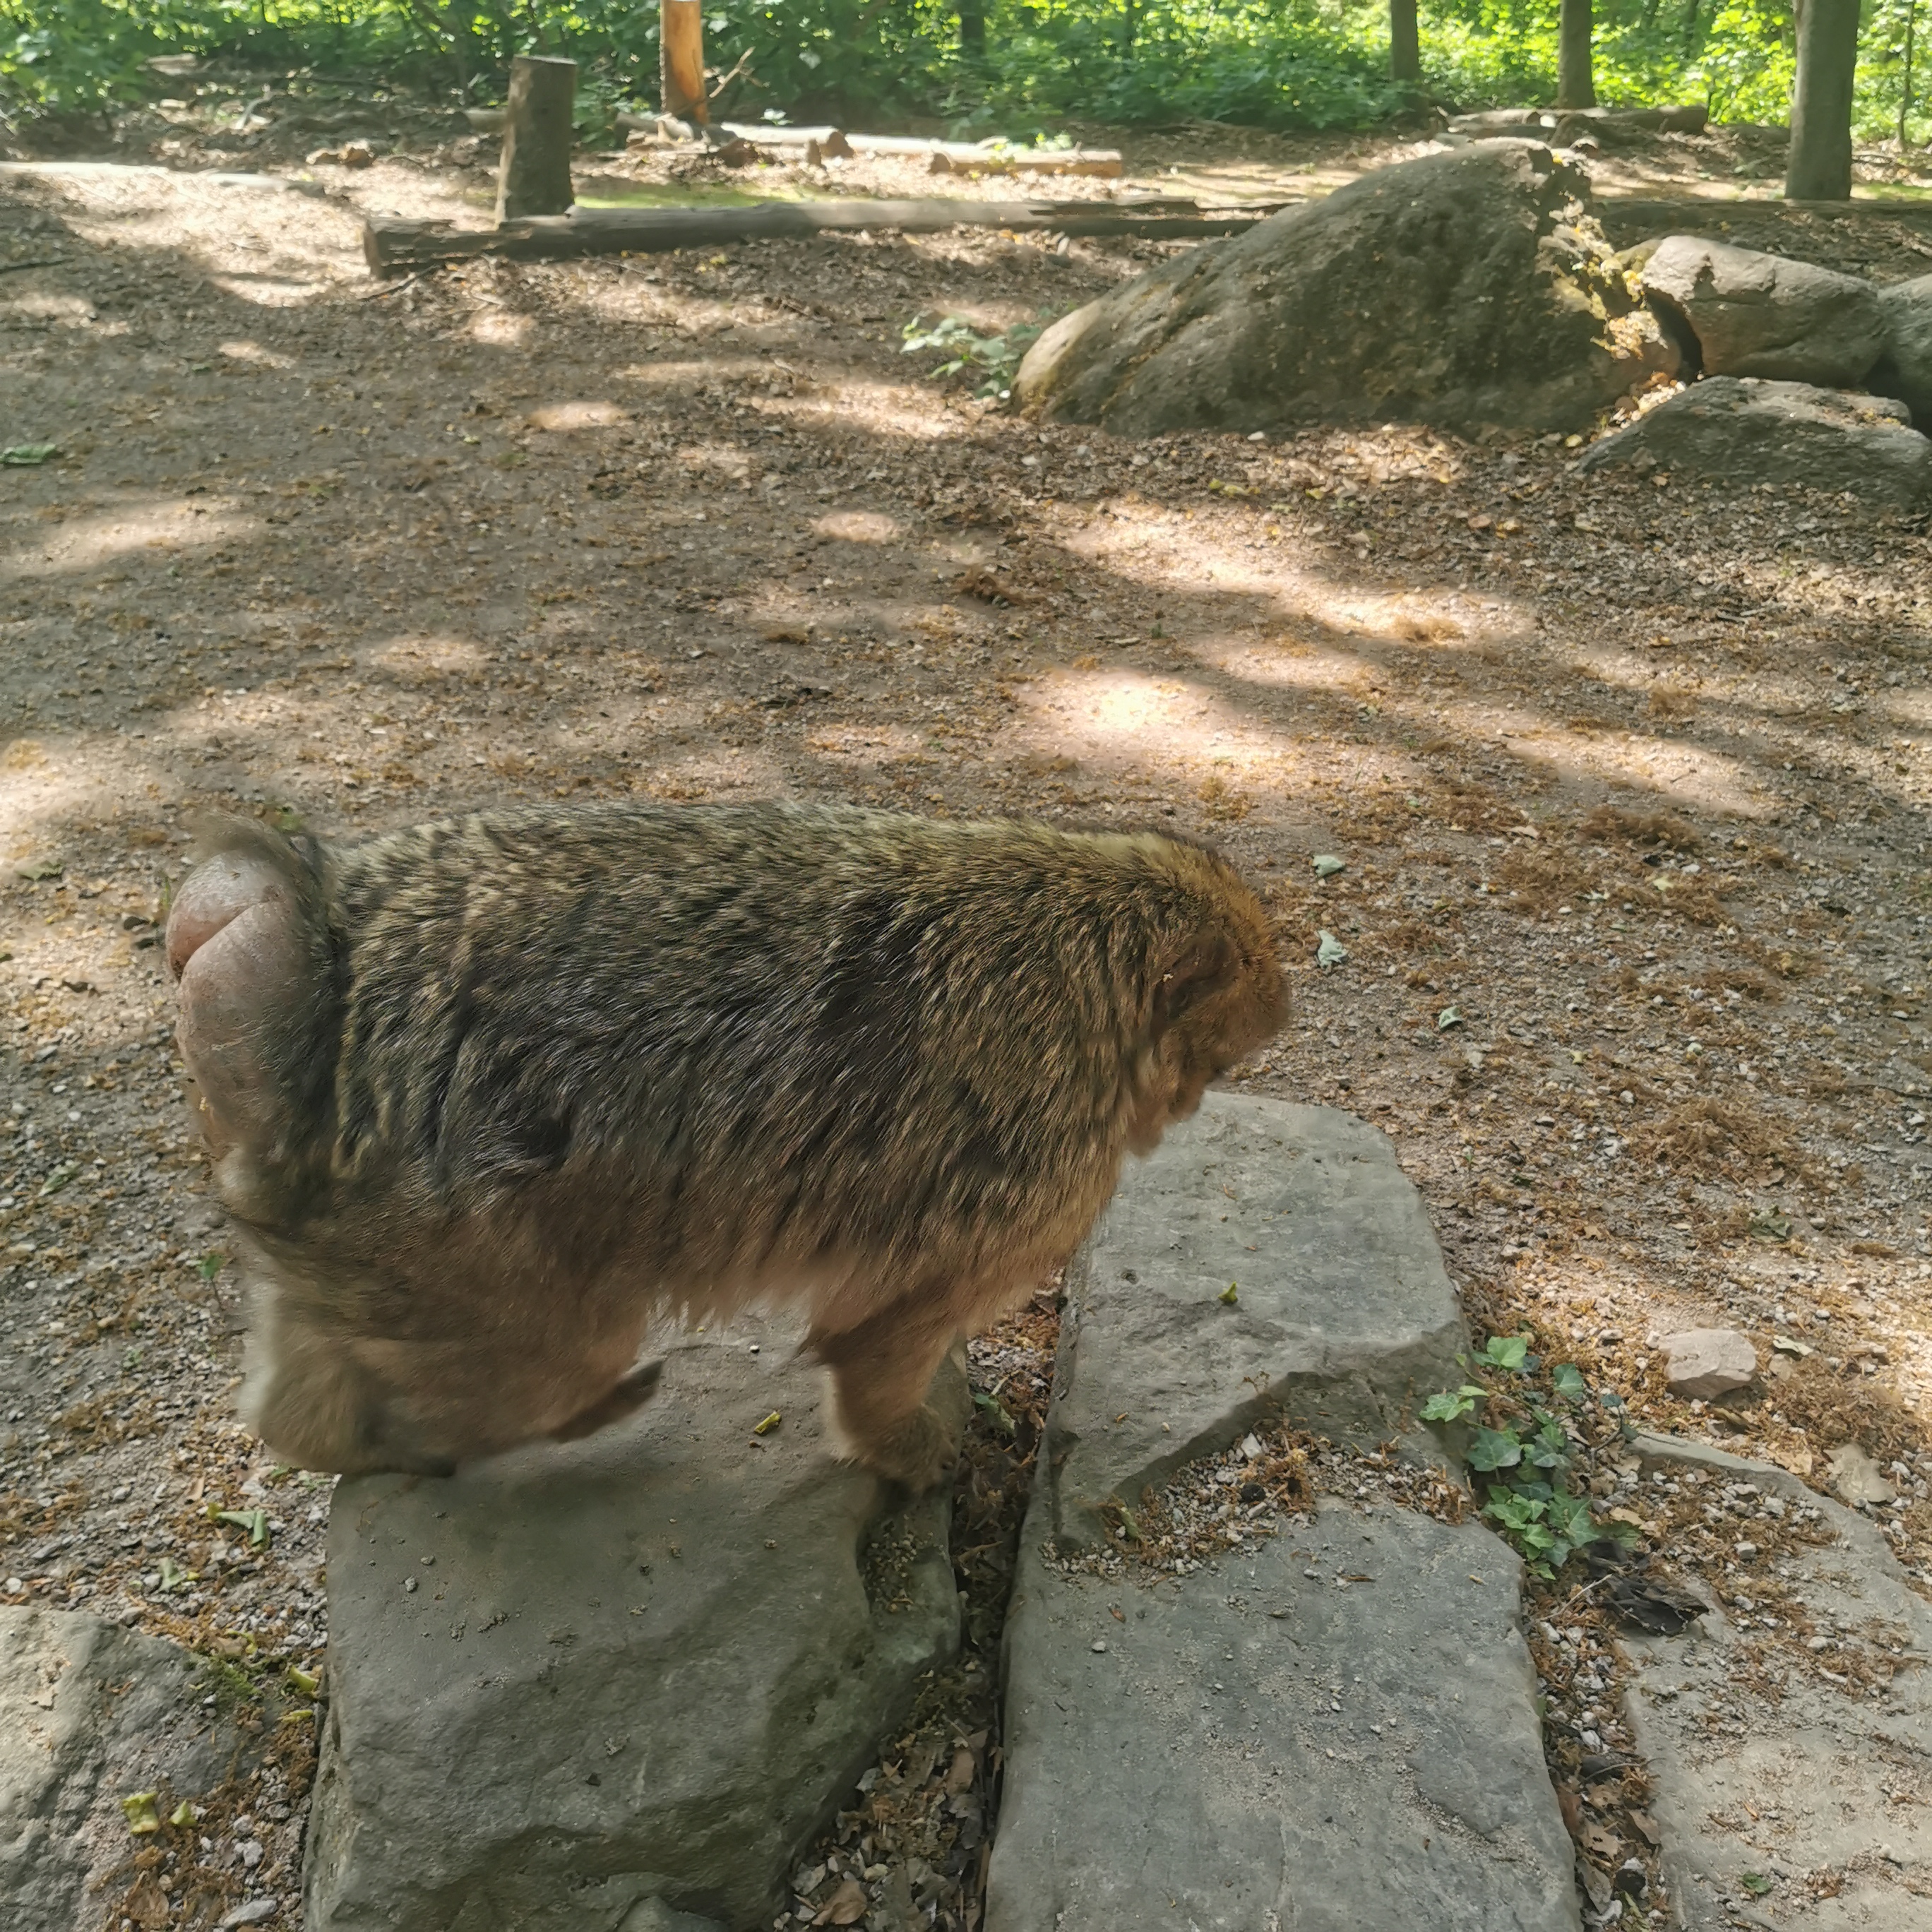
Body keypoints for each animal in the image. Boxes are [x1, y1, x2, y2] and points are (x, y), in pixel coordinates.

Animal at [166, 802, 1285, 1491]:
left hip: (351, 1250)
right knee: (531, 1369)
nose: (1284, 998)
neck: (1078, 960)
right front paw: (909, 1443)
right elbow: (877, 1343)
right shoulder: (1018, 1193)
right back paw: (554, 1416)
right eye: (1250, 970)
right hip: (476, 1273)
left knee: (301, 1400)